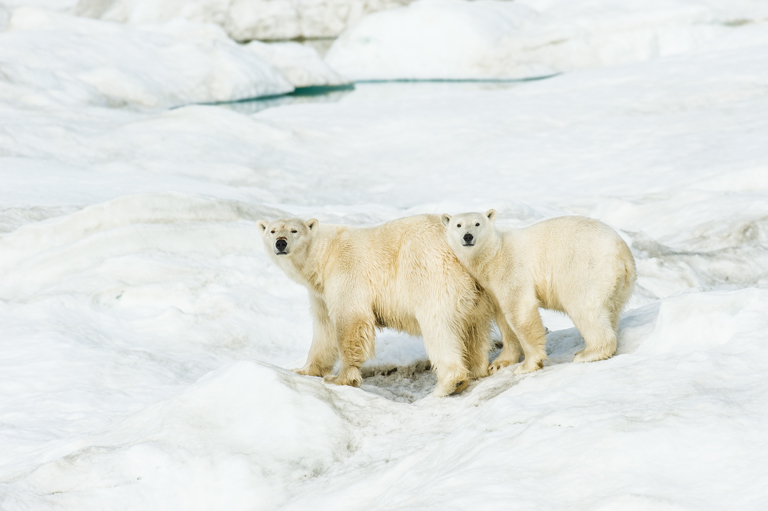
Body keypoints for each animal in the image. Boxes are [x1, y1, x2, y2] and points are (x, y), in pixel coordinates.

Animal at [255, 214, 496, 398]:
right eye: (273, 231)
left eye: (294, 230)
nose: (281, 243)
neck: (324, 255)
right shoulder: (320, 294)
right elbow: (324, 328)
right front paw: (306, 370)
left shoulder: (346, 271)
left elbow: (351, 319)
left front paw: (340, 378)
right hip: (478, 292)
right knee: (476, 330)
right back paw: (477, 370)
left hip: (432, 276)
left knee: (439, 329)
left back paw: (448, 384)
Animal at [440, 211, 632, 376]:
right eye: (458, 225)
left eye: (477, 223)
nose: (468, 236)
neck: (494, 254)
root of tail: (623, 254)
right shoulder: (491, 287)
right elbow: (503, 319)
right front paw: (498, 364)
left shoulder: (510, 269)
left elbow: (519, 309)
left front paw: (527, 365)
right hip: (617, 285)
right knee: (610, 310)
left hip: (584, 268)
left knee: (583, 306)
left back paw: (588, 353)